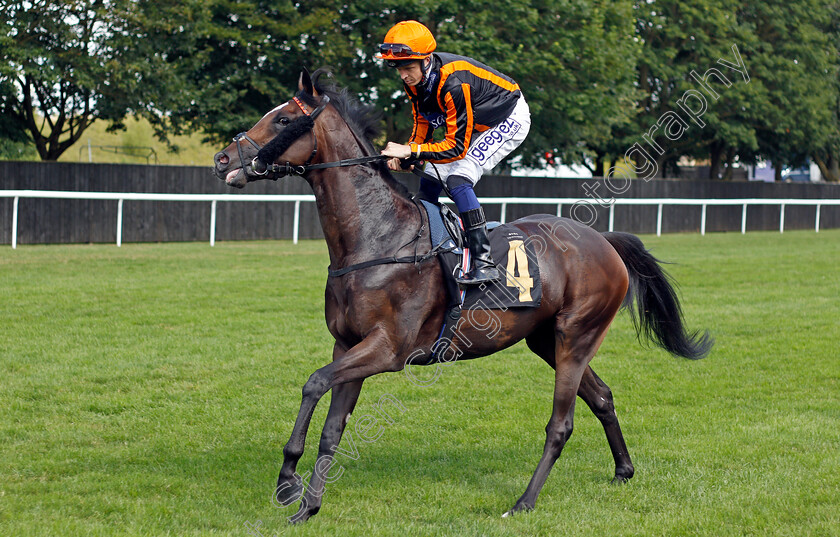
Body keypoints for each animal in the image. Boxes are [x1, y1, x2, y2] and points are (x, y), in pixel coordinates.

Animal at [210, 69, 708, 520]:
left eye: (282, 119)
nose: (221, 159)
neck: (378, 238)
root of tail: (602, 240)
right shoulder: (348, 344)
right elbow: (332, 427)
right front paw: (308, 504)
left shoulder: (388, 349)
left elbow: (313, 382)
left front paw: (287, 482)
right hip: (546, 340)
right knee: (601, 397)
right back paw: (623, 470)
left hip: (576, 336)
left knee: (560, 424)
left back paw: (523, 502)